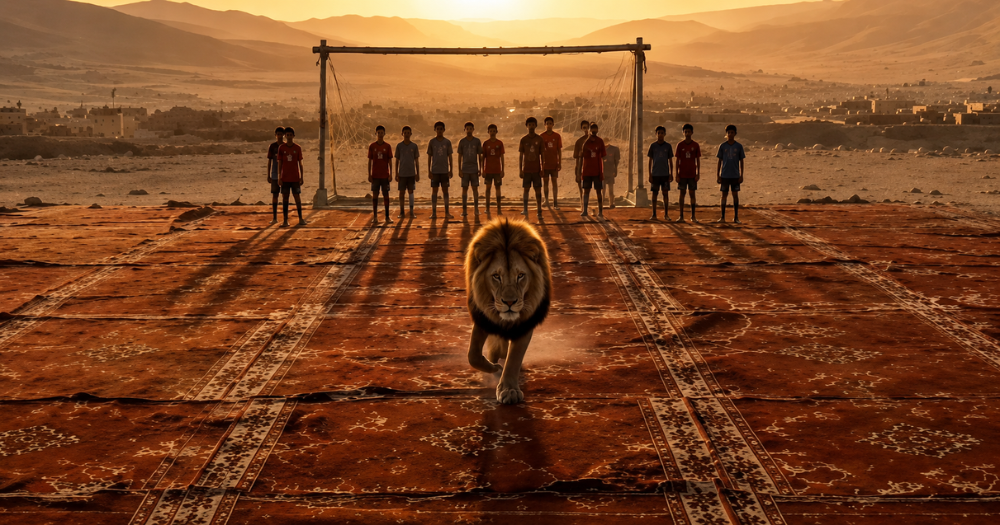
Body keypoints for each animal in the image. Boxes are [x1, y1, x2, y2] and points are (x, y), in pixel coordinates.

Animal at [464, 218, 552, 404]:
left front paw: (509, 390)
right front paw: (493, 366)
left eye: (521, 276)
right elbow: (473, 355)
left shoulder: (525, 324)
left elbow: (514, 358)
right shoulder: (483, 317)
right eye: (496, 276)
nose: (510, 302)